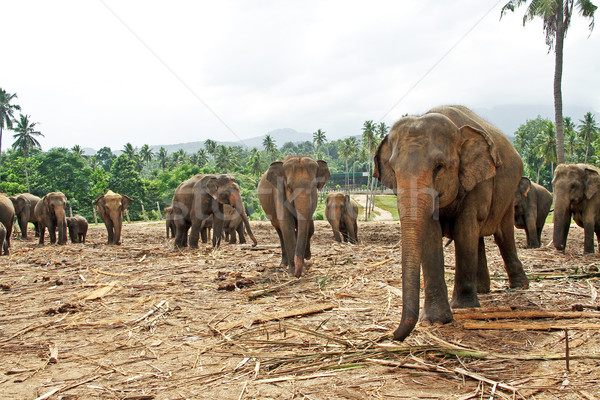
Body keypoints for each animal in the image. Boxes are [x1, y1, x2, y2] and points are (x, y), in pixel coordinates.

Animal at [376, 105, 528, 340]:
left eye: (439, 167)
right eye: (393, 169)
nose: (392, 336)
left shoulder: (479, 180)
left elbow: (465, 228)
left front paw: (464, 307)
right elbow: (431, 234)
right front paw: (436, 320)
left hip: (510, 191)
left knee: (503, 235)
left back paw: (519, 286)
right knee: (479, 238)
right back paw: (482, 290)